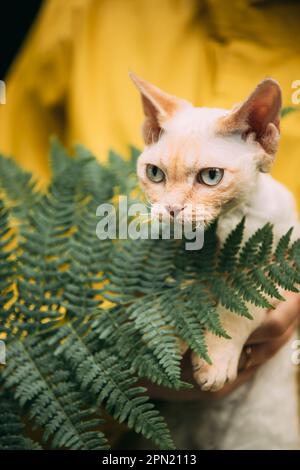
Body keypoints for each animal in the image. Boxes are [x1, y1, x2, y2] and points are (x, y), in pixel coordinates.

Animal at [129, 72, 300, 448]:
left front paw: (216, 359)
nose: (171, 210)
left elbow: (238, 309)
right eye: (155, 174)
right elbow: (174, 298)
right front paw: (168, 340)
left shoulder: (276, 266)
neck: (217, 234)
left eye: (211, 177)